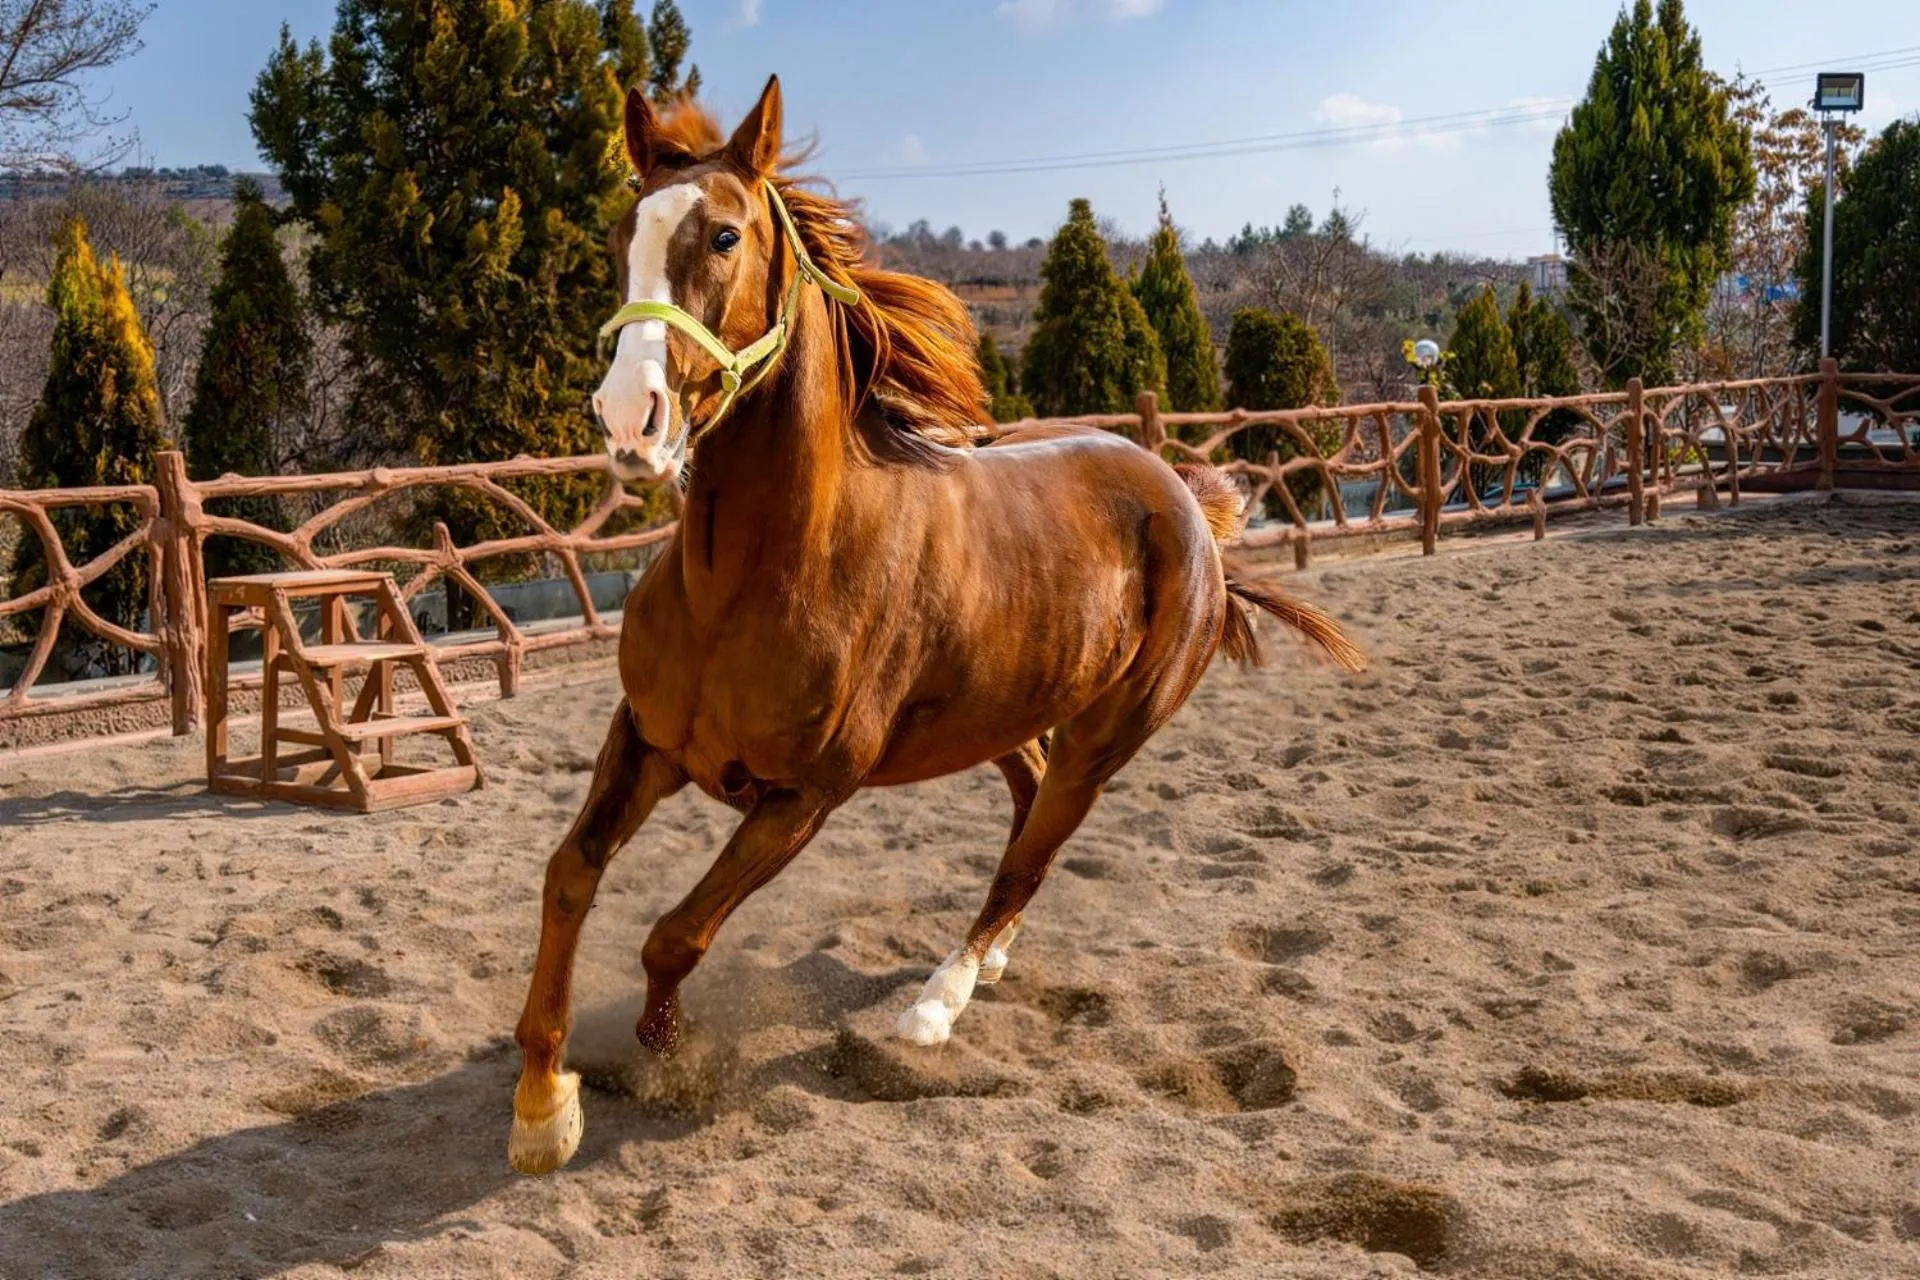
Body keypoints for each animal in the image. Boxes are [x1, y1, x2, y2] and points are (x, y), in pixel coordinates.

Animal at [508, 76, 1365, 1175]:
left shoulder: (803, 797)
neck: (744, 582)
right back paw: (986, 966)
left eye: (726, 235)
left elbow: (675, 935)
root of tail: (1186, 501)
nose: (630, 418)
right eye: (624, 232)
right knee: (1027, 804)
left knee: (1031, 852)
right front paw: (542, 1107)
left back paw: (938, 1004)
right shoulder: (647, 739)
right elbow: (568, 876)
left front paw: (663, 1058)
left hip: (1106, 738)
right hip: (1004, 712)